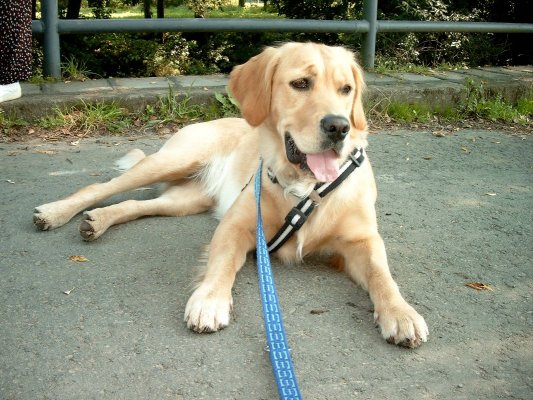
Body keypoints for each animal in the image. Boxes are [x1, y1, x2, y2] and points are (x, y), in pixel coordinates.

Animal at [33, 42, 428, 348]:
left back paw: (98, 221)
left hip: (185, 200)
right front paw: (210, 300)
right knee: (100, 188)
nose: (339, 127)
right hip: (172, 161)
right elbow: (221, 263)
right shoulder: (237, 225)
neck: (306, 188)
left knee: (135, 204)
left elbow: (382, 275)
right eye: (301, 83)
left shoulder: (362, 240)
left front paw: (401, 313)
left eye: (346, 89)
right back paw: (55, 212)